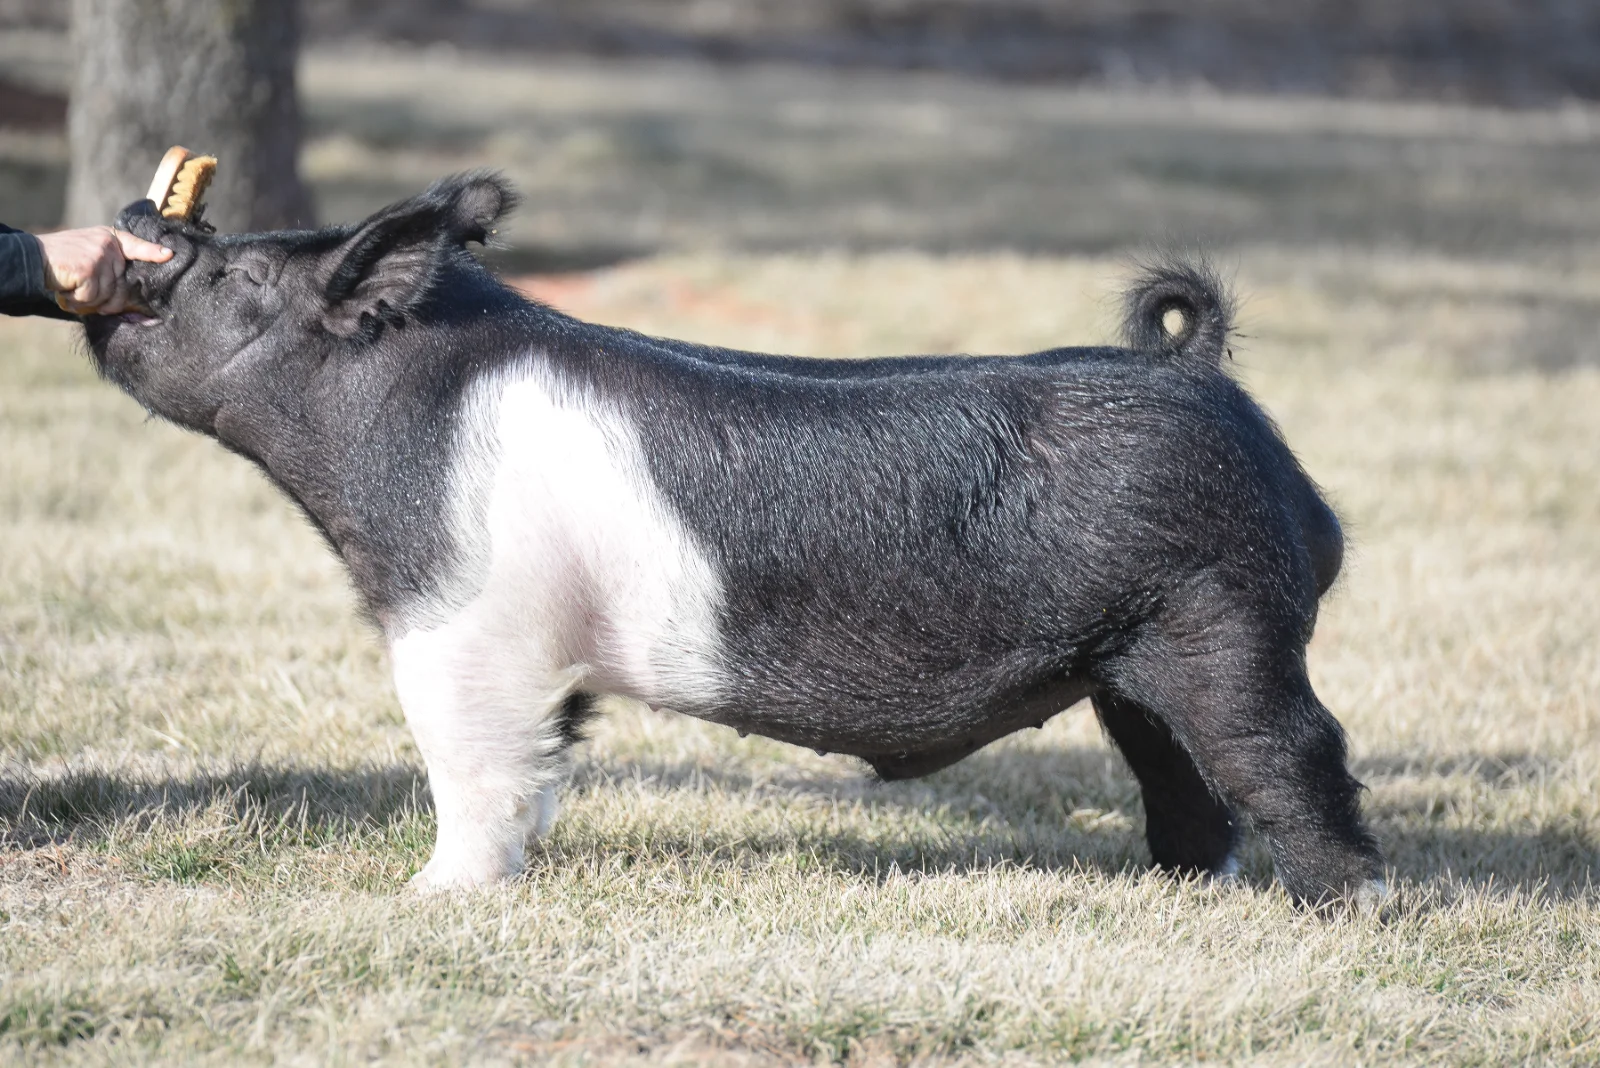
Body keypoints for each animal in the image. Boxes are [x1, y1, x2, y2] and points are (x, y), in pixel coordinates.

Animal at [84, 172, 1382, 904]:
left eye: (241, 276)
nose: (139, 211)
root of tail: (1197, 372)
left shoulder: (463, 623)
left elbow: (470, 759)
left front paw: (431, 897)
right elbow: (547, 758)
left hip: (1224, 613)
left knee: (1289, 749)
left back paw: (1343, 910)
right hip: (1129, 656)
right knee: (1184, 773)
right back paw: (1185, 896)